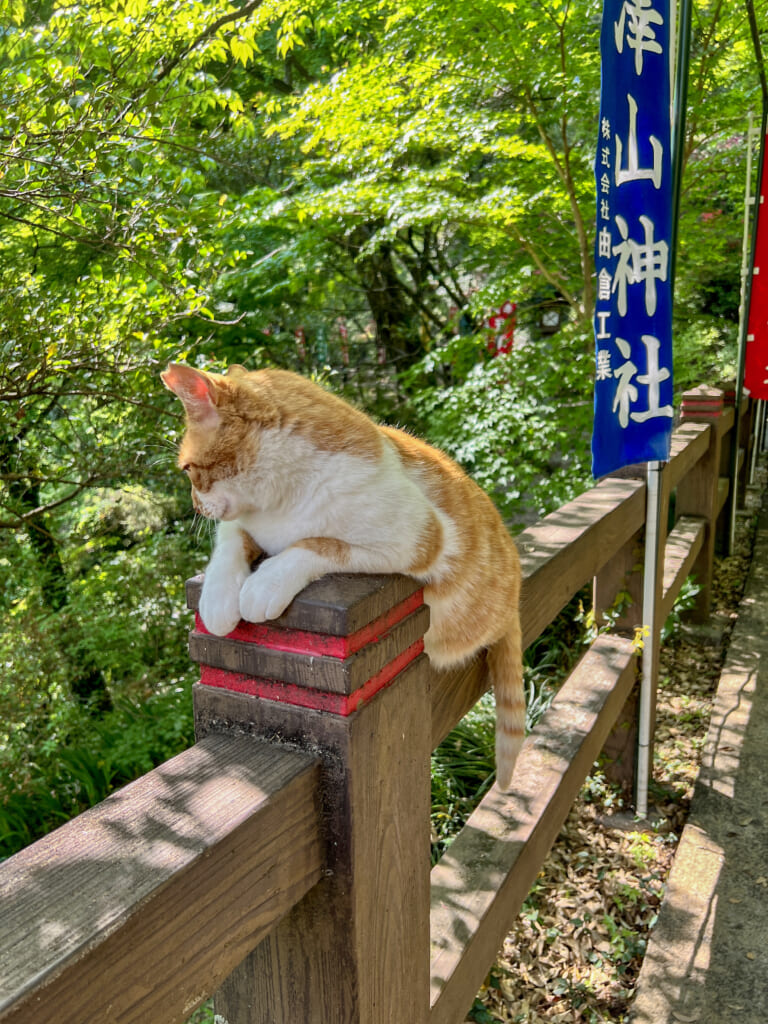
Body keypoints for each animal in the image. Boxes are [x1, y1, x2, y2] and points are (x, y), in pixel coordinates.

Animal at [162, 362, 525, 790]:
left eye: (188, 469)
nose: (195, 506)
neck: (279, 501)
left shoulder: (418, 538)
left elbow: (317, 544)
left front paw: (265, 583)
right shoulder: (241, 524)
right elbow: (230, 543)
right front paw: (218, 600)